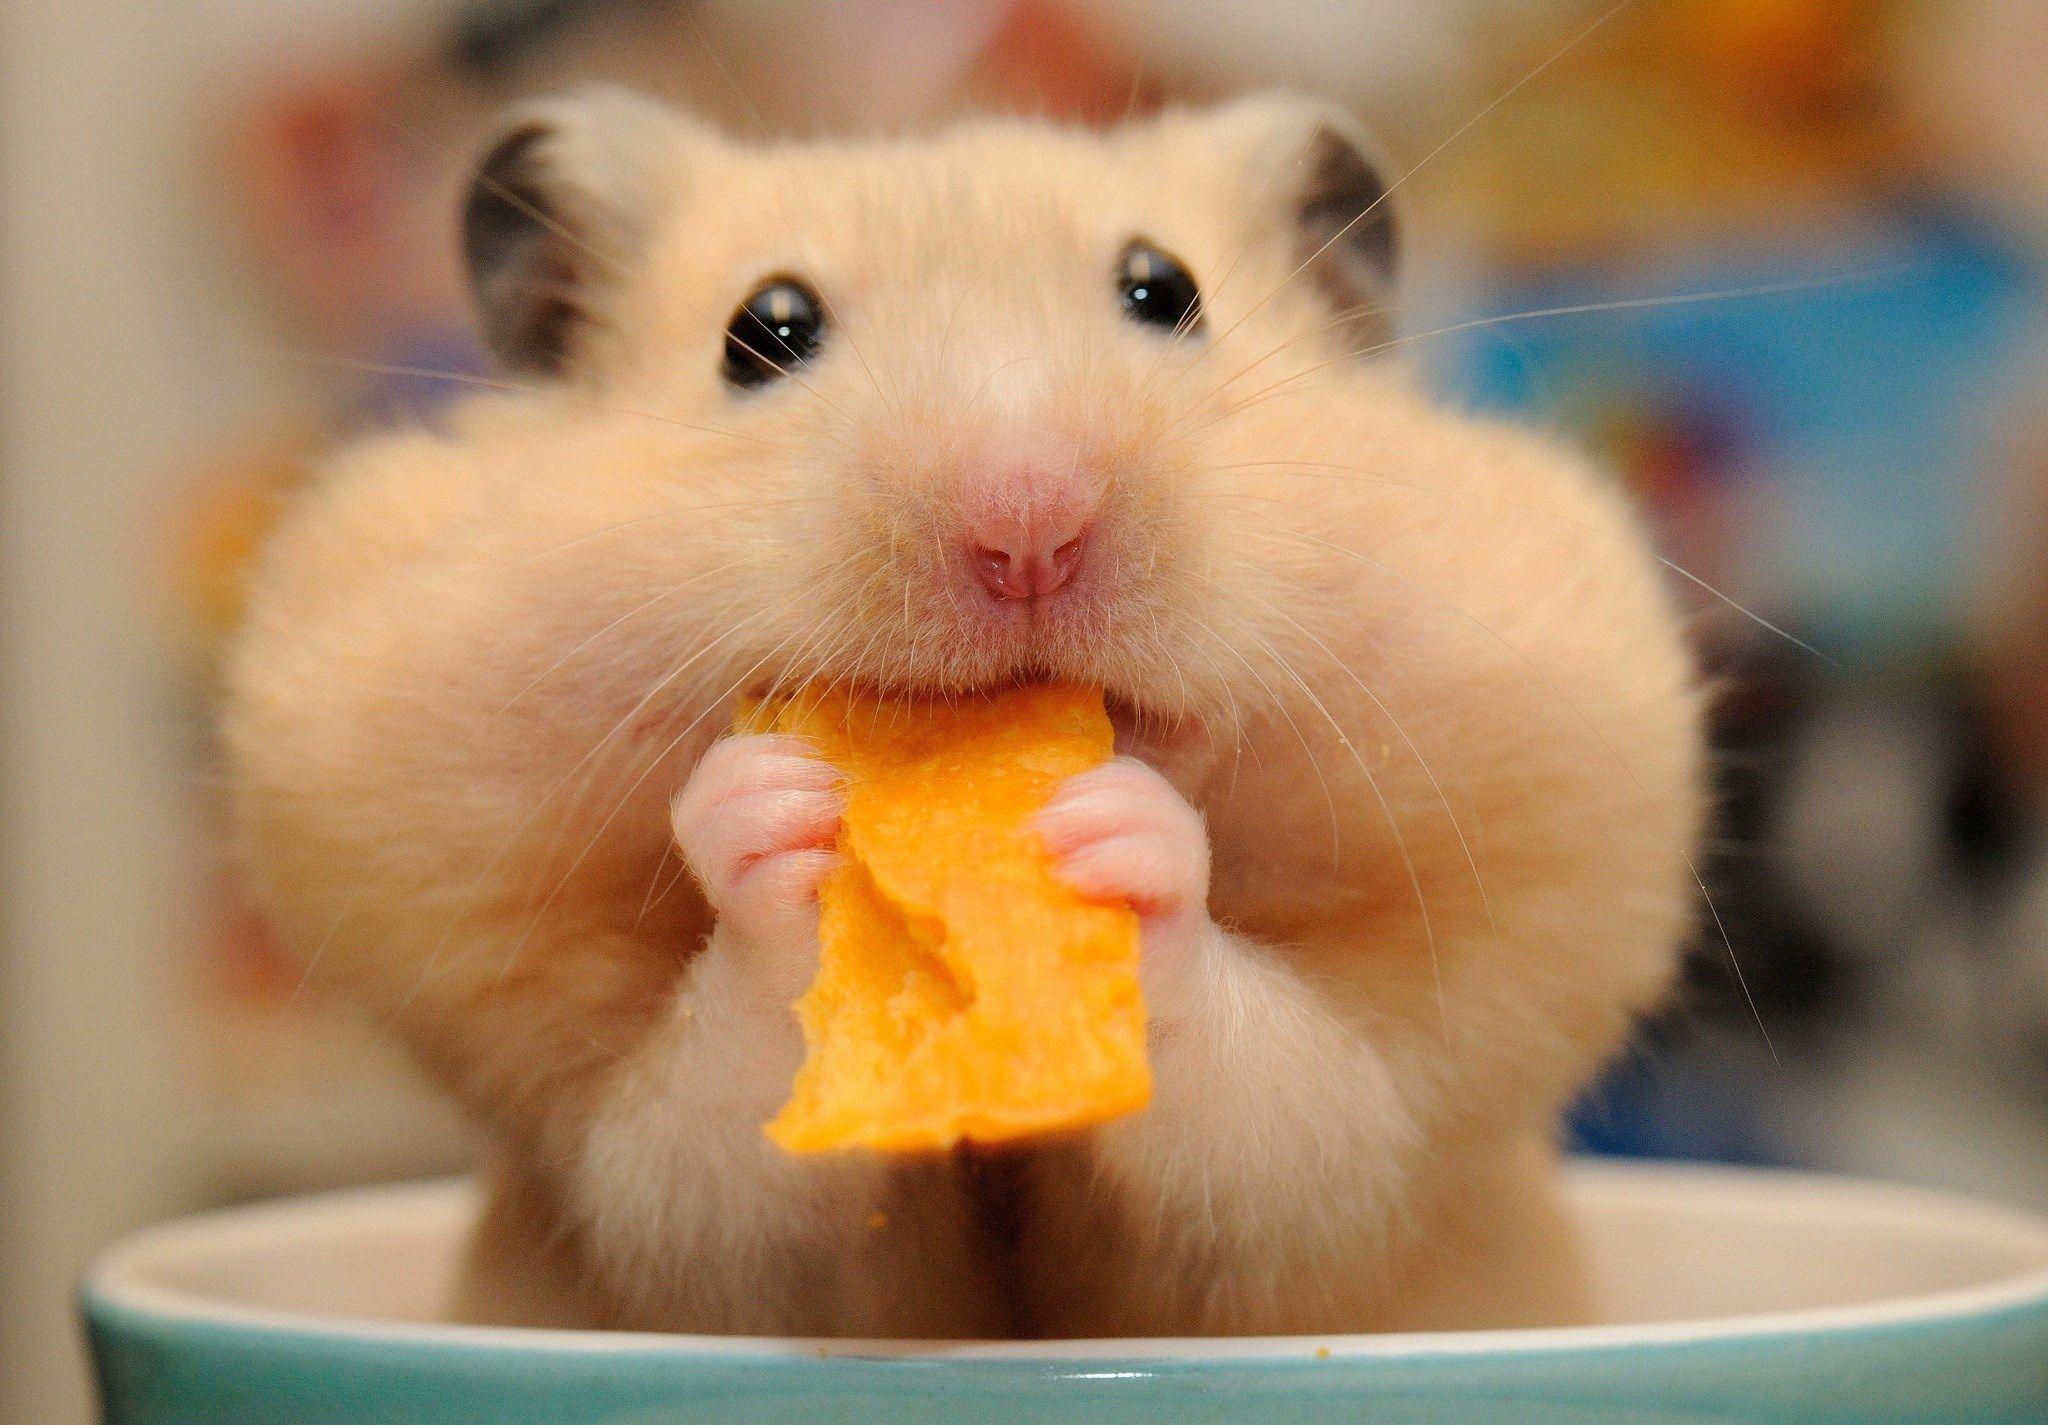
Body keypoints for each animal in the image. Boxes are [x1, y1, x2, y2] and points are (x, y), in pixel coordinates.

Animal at [222, 90, 1703, 1338]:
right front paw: (770, 811)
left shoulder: (1352, 1175)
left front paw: (1119, 837)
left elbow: (1278, 1118)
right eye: (764, 330)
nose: (1026, 520)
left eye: (1165, 291)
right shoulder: (626, 1189)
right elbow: (713, 1151)